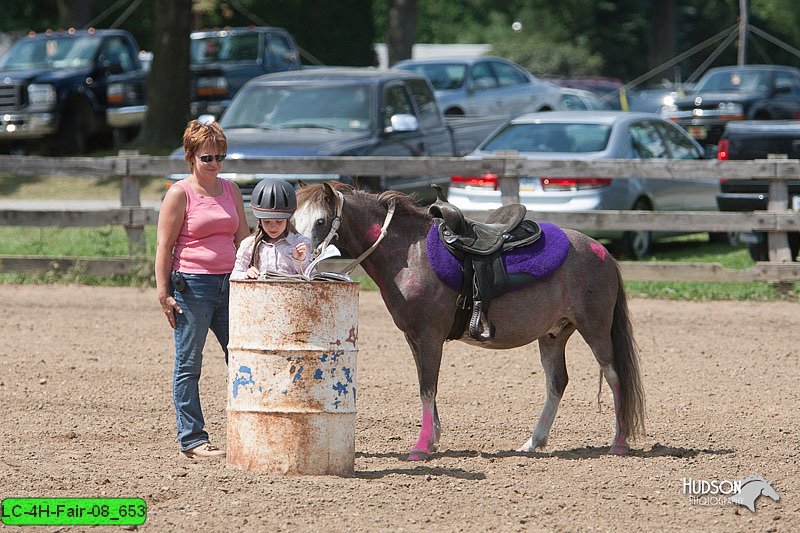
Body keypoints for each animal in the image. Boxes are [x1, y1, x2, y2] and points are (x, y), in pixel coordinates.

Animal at [294, 182, 644, 458]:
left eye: (321, 220)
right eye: (295, 220)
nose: (300, 257)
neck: (409, 253)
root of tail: (602, 251)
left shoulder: (429, 336)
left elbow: (427, 388)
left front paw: (421, 447)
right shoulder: (414, 337)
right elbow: (425, 386)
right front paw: (433, 439)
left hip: (595, 329)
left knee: (614, 376)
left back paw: (619, 442)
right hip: (553, 335)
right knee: (557, 382)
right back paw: (533, 442)